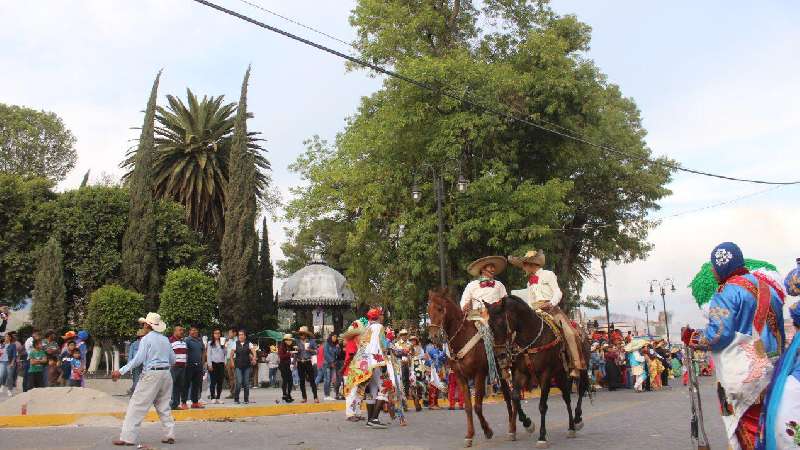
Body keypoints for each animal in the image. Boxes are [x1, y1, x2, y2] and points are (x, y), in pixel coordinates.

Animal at [428, 288, 516, 446]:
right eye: (428, 311)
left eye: (440, 309)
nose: (434, 337)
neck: (462, 337)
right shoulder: (460, 377)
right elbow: (468, 407)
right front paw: (469, 435)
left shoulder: (479, 375)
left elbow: (477, 406)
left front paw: (487, 431)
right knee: (508, 397)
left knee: (510, 397)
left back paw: (513, 428)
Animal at [484, 296, 592, 446]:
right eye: (489, 324)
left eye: (502, 323)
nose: (500, 354)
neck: (530, 338)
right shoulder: (520, 373)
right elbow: (515, 397)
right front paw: (528, 424)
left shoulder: (545, 374)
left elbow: (542, 406)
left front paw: (542, 437)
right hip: (559, 375)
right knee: (566, 396)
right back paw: (571, 427)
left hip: (580, 368)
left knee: (581, 389)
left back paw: (577, 419)